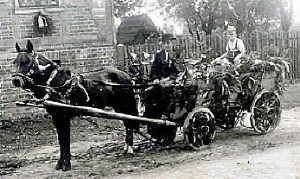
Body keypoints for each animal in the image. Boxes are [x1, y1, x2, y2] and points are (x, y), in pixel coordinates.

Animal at [11, 39, 138, 171]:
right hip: (118, 107)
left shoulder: (63, 117)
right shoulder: (56, 118)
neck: (54, 83)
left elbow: (65, 139)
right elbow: (61, 139)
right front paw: (60, 163)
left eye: (28, 61)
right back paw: (127, 147)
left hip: (125, 105)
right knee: (127, 123)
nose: (16, 81)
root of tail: (125, 75)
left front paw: (66, 164)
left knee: (129, 124)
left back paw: (129, 149)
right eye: (15, 62)